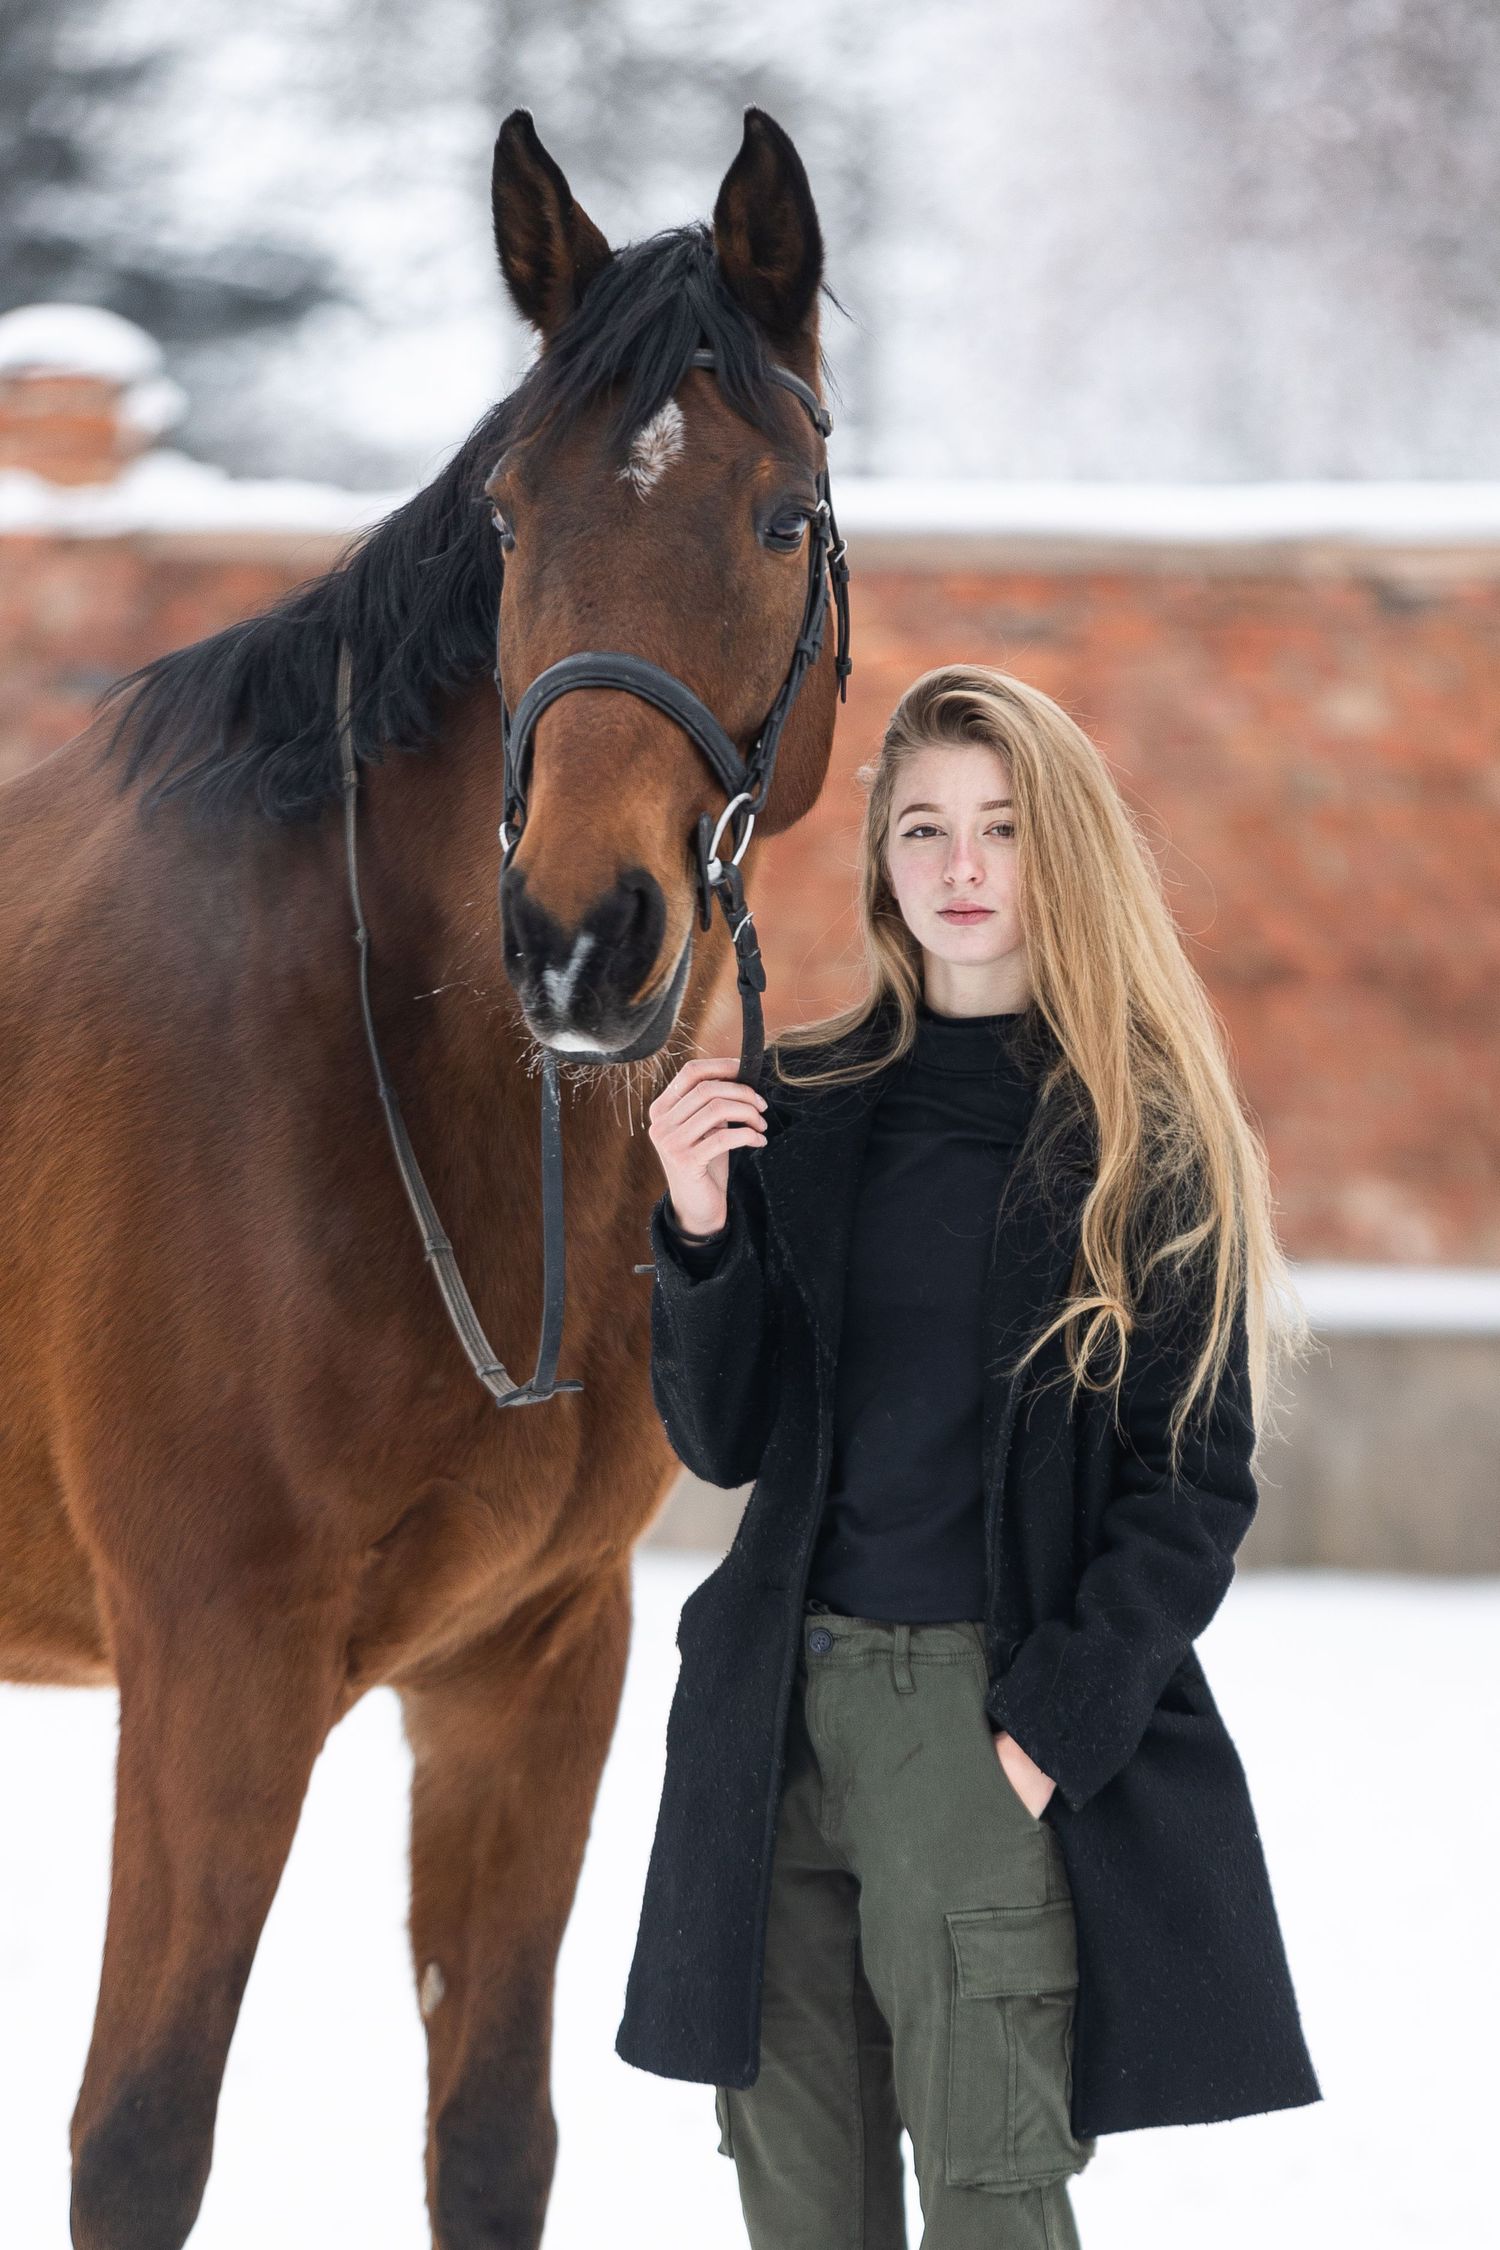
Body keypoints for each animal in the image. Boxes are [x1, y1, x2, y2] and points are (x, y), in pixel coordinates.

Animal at [0, 105, 843, 2250]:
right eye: (512, 522)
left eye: (780, 517)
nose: (583, 940)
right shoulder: (214, 1674)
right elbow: (138, 2141)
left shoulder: (524, 1672)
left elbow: (490, 2135)